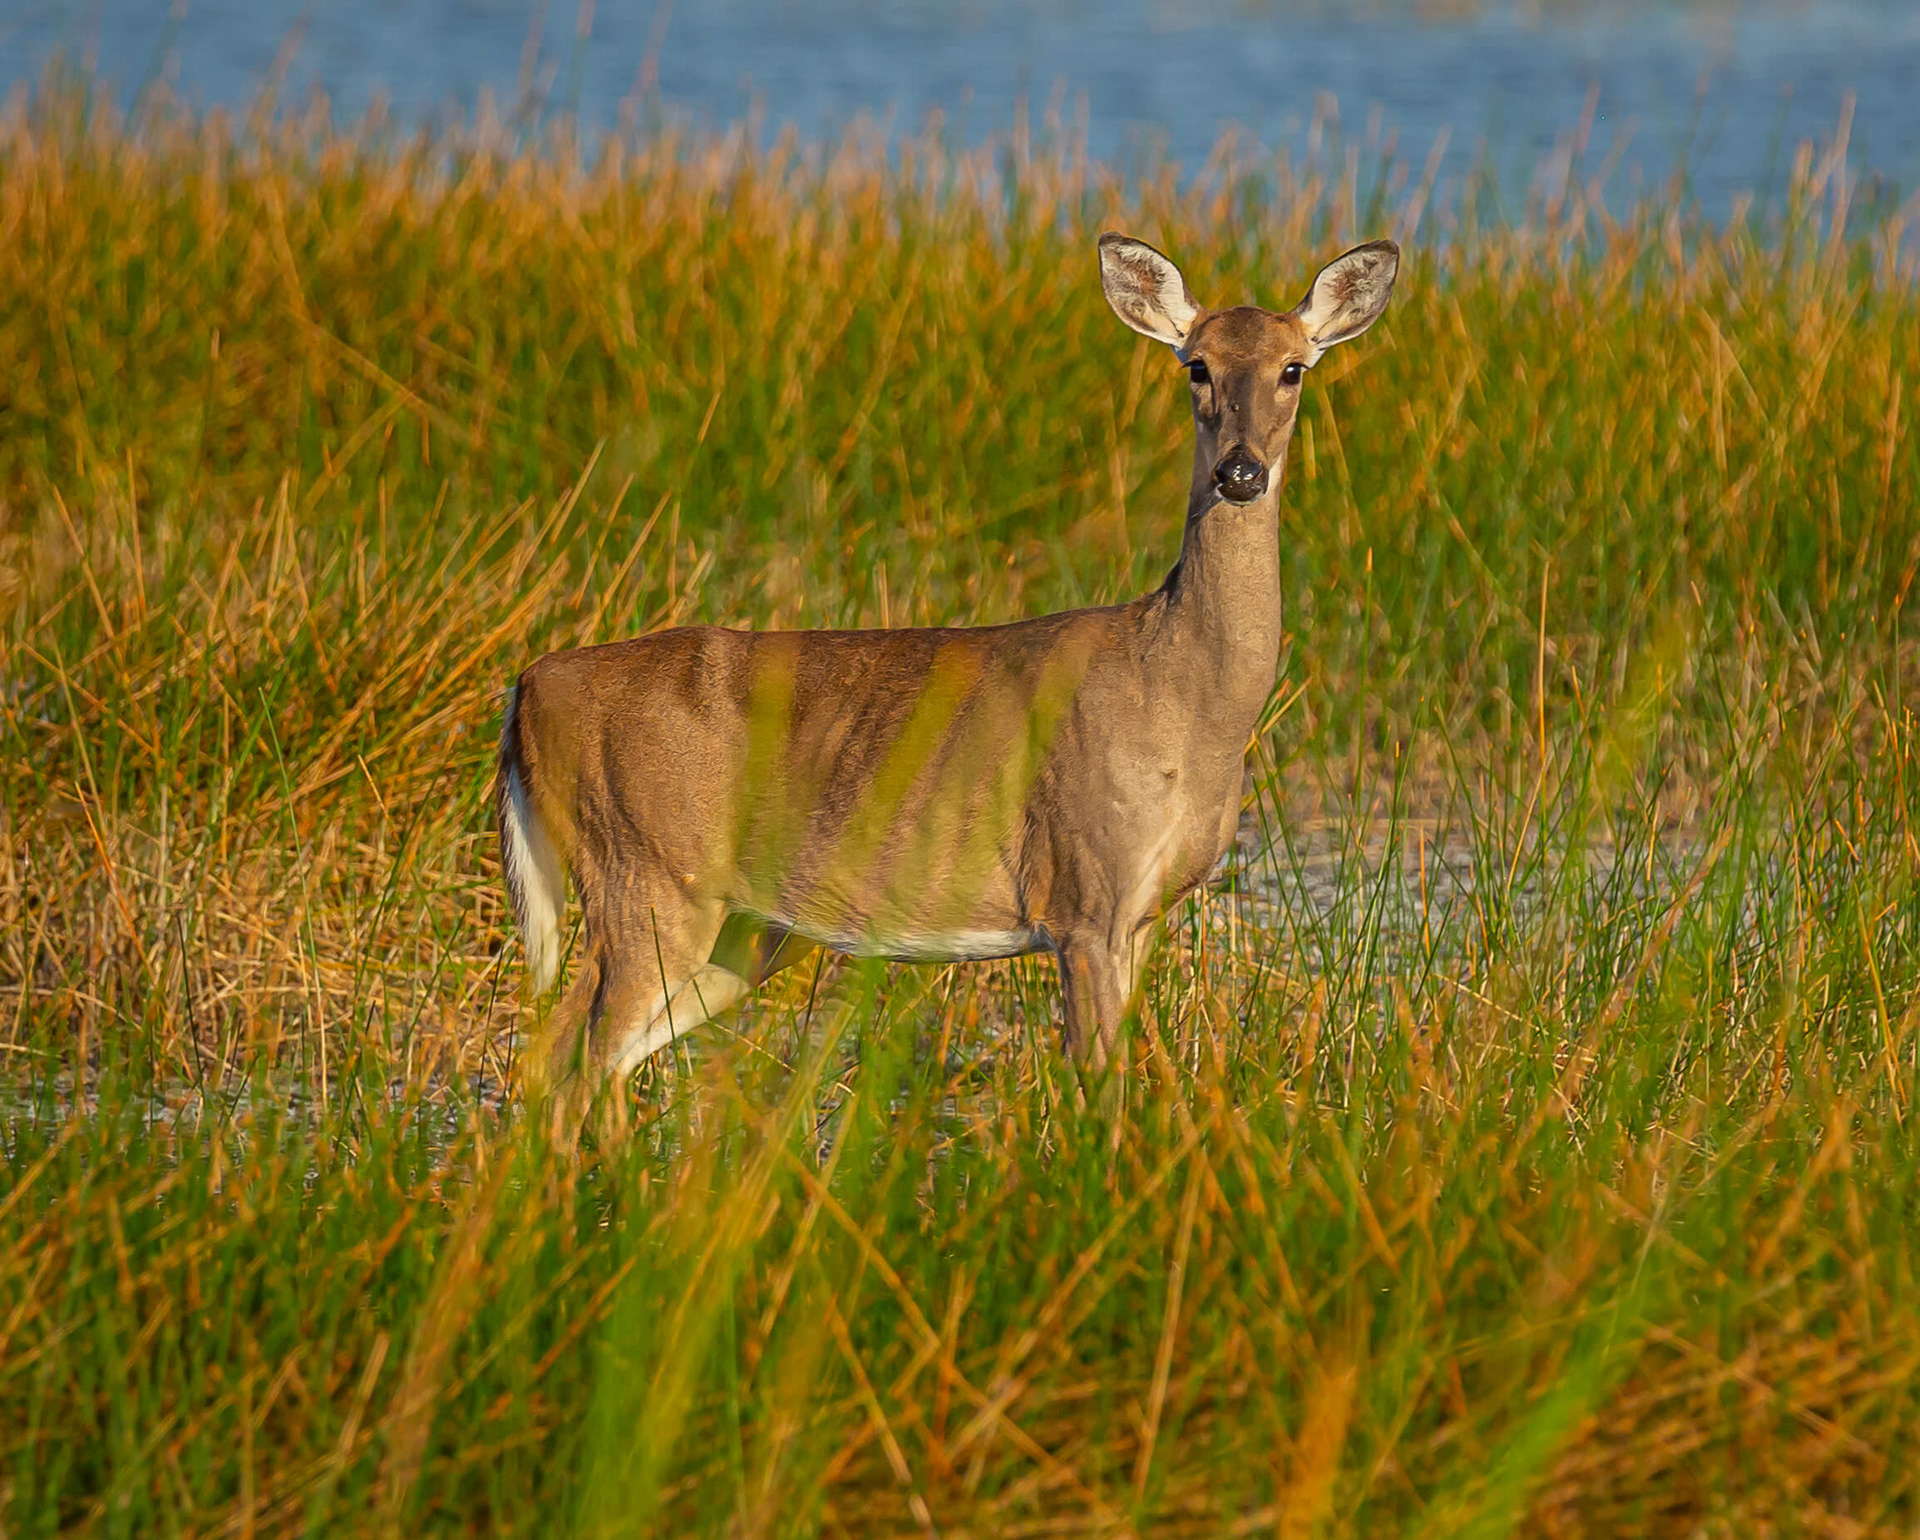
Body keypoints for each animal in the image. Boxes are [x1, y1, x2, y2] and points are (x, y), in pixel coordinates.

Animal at [497, 231, 1399, 1086]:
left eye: (1293, 368)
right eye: (1197, 366)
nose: (1240, 471)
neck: (1182, 698)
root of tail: (529, 688)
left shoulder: (1142, 914)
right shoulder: (1086, 895)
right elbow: (1097, 1089)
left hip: (736, 927)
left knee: (567, 1060)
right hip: (646, 876)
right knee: (576, 1062)